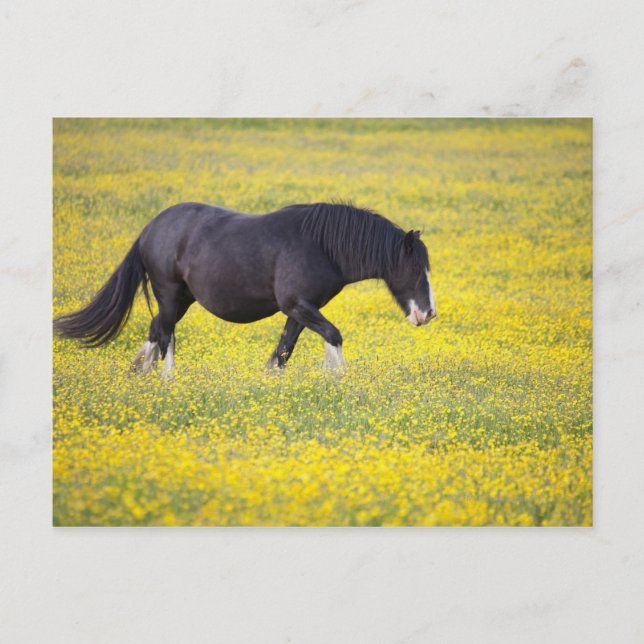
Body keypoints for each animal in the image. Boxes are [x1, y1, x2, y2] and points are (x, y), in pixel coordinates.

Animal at [54, 202, 436, 376]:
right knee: (166, 335)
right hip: (169, 293)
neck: (321, 246)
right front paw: (338, 378)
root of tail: (151, 228)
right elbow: (333, 335)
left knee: (155, 329)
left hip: (183, 298)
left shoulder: (300, 310)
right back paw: (167, 380)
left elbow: (283, 351)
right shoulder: (297, 304)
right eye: (415, 269)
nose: (428, 314)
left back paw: (139, 373)